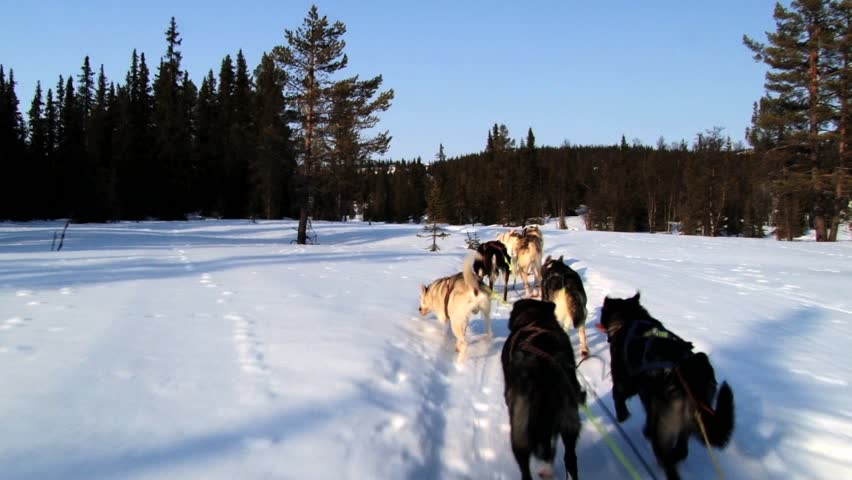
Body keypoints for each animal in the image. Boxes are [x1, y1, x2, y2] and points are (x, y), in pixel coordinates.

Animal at [500, 298, 584, 478]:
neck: (535, 319)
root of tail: (543, 369)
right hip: (568, 421)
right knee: (570, 459)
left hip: (520, 432)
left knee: (525, 469)